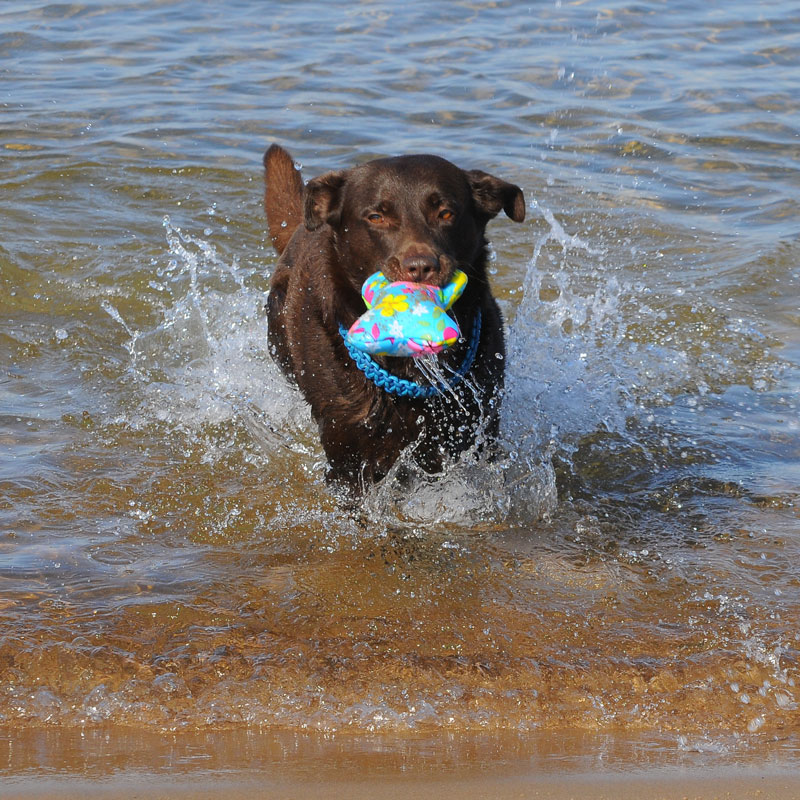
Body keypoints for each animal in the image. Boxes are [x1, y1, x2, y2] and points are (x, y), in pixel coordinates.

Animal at [262, 144, 525, 496]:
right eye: (376, 217)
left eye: (446, 213)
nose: (421, 266)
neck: (408, 371)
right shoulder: (346, 454)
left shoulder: (476, 432)